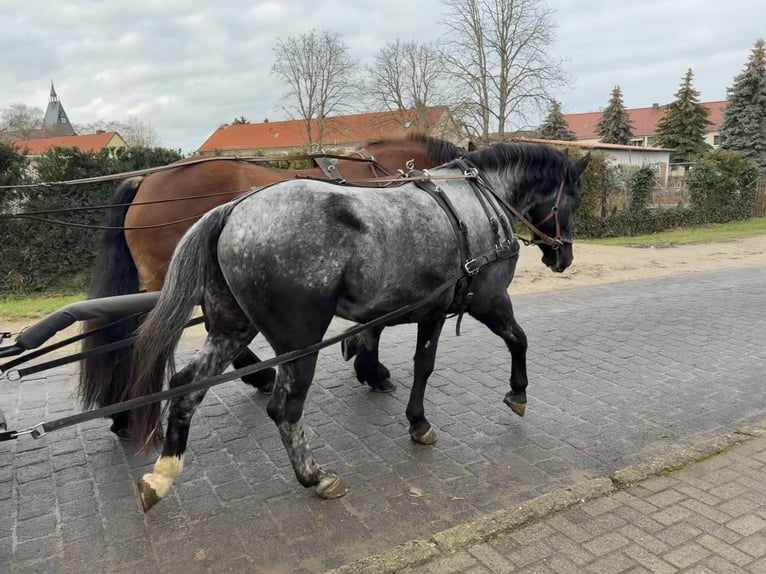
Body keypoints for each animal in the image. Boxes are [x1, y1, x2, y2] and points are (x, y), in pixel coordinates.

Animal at [129, 144, 592, 512]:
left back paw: (163, 473)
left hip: (231, 327)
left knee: (187, 386)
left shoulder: (431, 311)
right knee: (284, 409)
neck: (474, 202)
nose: (564, 256)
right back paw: (315, 476)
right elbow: (516, 339)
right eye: (575, 197)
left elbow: (421, 364)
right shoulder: (490, 301)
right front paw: (517, 392)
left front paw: (413, 416)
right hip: (299, 342)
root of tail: (231, 212)